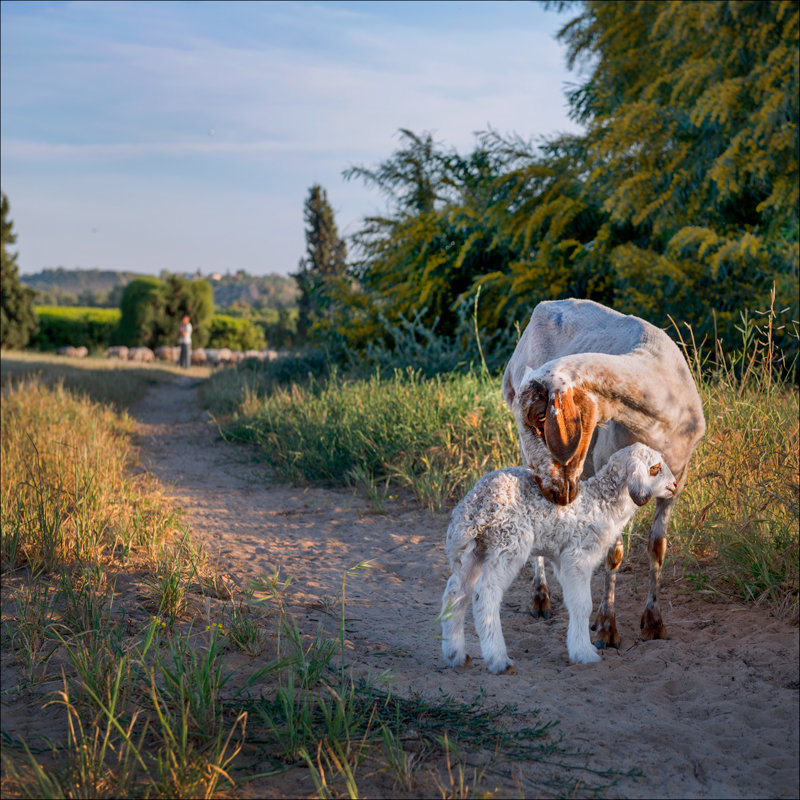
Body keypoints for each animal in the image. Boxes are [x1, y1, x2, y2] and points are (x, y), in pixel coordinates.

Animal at [440, 440, 680, 672]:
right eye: (655, 468)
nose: (675, 485)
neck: (602, 503)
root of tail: (476, 505)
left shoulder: (562, 561)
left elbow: (573, 602)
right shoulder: (578, 556)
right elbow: (583, 605)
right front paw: (585, 653)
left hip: (476, 549)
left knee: (456, 591)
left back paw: (456, 655)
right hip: (507, 543)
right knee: (485, 594)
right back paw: (499, 660)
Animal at [504, 298, 704, 644]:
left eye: (542, 418)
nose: (552, 491)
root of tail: (543, 306)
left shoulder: (677, 481)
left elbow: (658, 548)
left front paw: (654, 622)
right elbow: (615, 553)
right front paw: (607, 627)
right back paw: (541, 599)